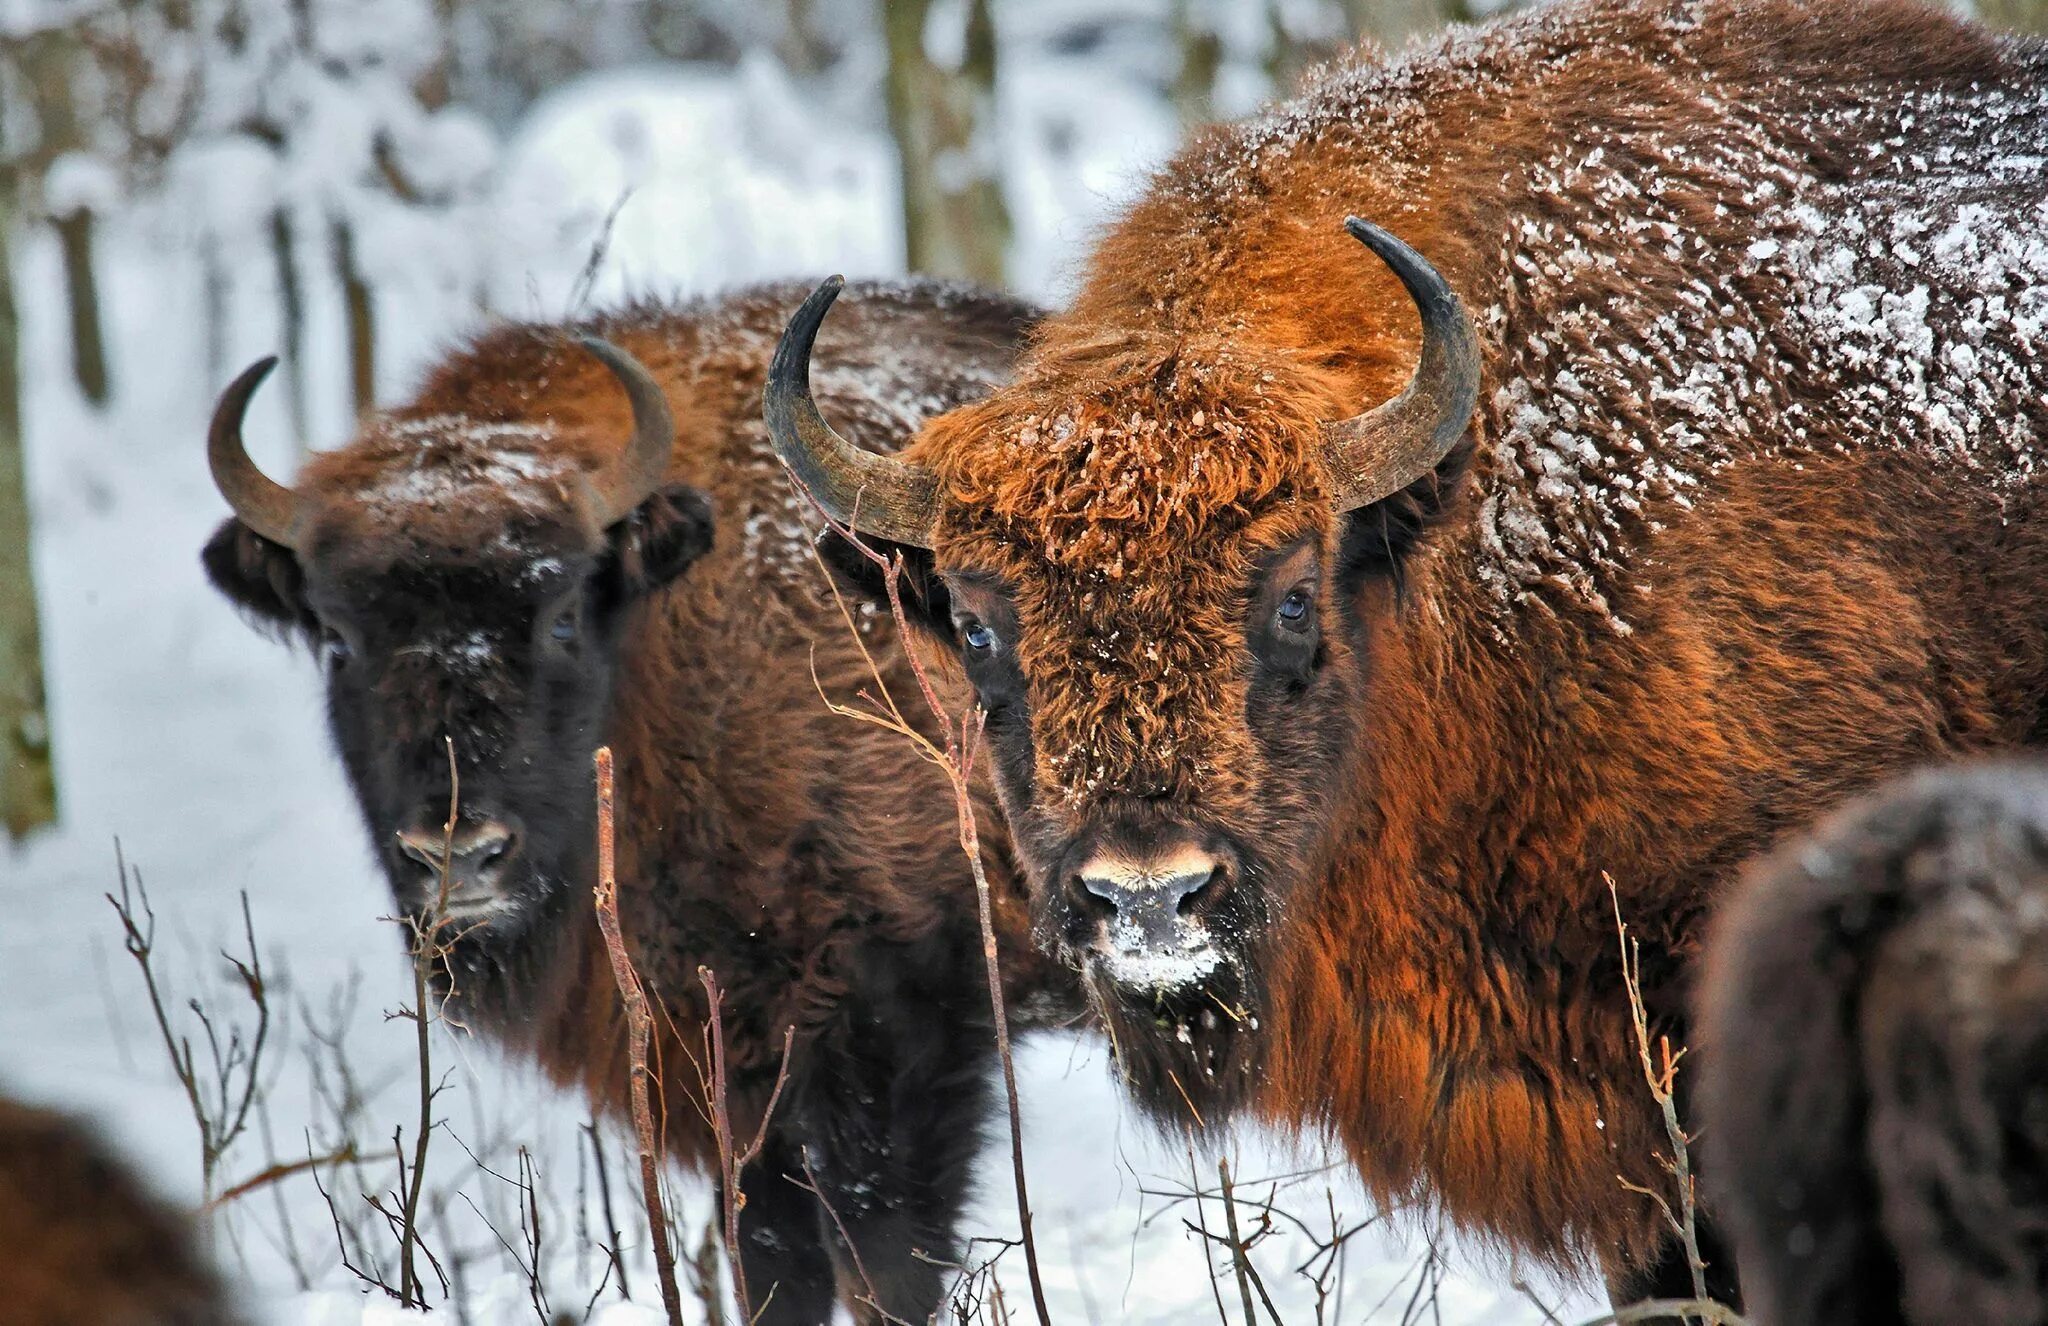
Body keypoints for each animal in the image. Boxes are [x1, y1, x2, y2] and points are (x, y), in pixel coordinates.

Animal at [203, 274, 1073, 1319]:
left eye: (563, 612)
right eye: (337, 636)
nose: (458, 854)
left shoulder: (894, 1024)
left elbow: (883, 1260)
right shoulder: (733, 1069)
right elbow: (772, 1258)